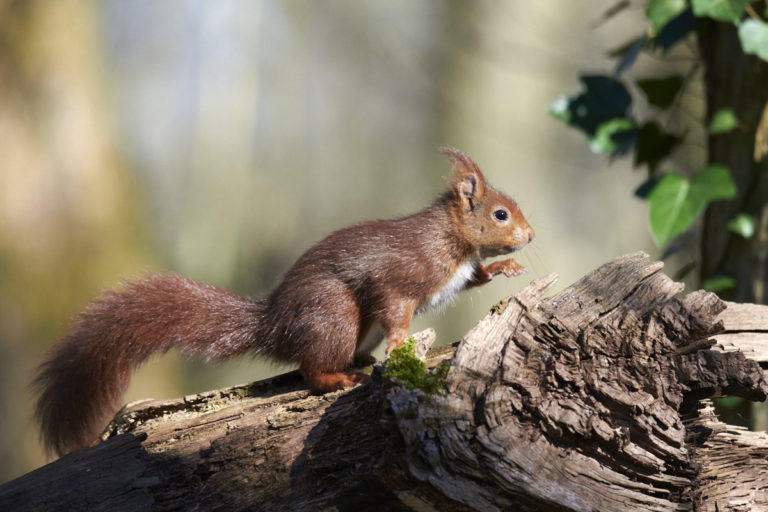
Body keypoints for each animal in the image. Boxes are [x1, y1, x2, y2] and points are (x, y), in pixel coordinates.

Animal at [31, 148, 536, 456]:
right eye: (500, 214)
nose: (531, 236)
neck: (453, 240)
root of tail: (273, 323)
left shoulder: (460, 273)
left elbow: (478, 278)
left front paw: (507, 269)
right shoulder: (401, 274)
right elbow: (394, 308)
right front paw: (401, 346)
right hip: (334, 316)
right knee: (310, 371)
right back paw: (341, 377)